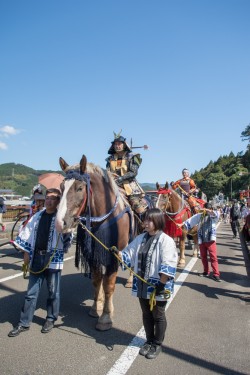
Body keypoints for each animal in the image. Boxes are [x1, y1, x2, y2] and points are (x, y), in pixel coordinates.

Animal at [55, 154, 135, 330]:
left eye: (79, 188)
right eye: (61, 187)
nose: (60, 223)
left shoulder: (113, 254)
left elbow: (109, 285)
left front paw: (105, 317)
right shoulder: (93, 253)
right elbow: (97, 281)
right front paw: (96, 306)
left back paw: (130, 281)